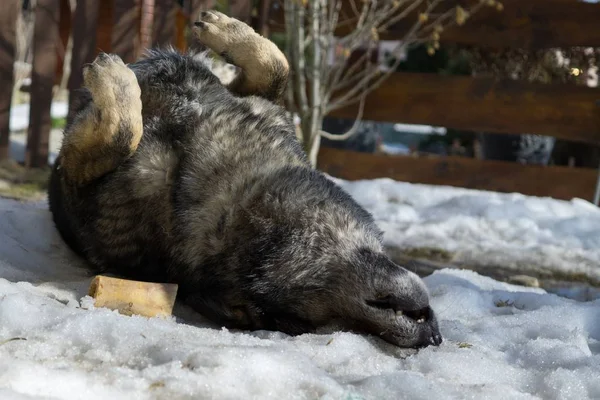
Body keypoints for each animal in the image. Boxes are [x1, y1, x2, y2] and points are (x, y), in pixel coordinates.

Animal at [48, 10, 440, 348]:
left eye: (311, 320)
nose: (432, 335)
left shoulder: (81, 183)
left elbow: (123, 132)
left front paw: (113, 79)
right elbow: (278, 65)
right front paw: (226, 33)